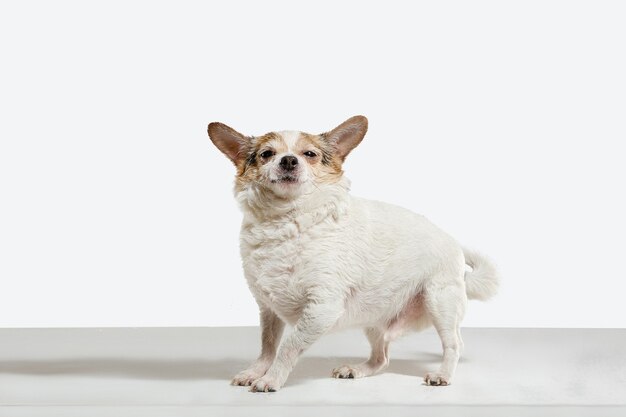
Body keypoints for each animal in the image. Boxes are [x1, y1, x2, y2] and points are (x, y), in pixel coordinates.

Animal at [207, 115, 500, 392]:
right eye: (267, 154)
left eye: (309, 154)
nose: (288, 160)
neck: (286, 221)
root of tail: (453, 243)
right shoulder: (269, 309)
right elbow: (268, 345)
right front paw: (256, 371)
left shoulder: (321, 308)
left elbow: (288, 346)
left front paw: (272, 378)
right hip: (375, 319)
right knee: (382, 358)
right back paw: (358, 369)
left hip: (440, 302)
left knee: (454, 344)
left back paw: (443, 375)